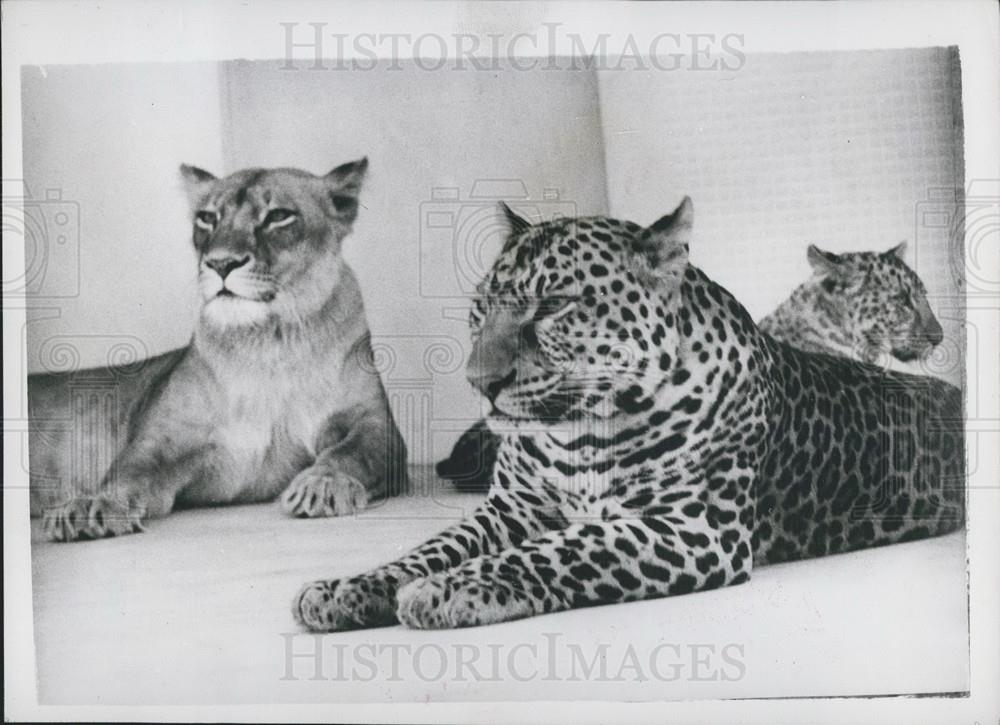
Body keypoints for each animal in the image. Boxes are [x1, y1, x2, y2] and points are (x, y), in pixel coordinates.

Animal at [30, 158, 408, 541]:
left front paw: (323, 484)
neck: (268, 343)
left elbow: (352, 453)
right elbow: (127, 471)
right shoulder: (163, 441)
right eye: (207, 217)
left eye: (278, 216)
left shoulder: (374, 423)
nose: (221, 263)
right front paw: (91, 504)